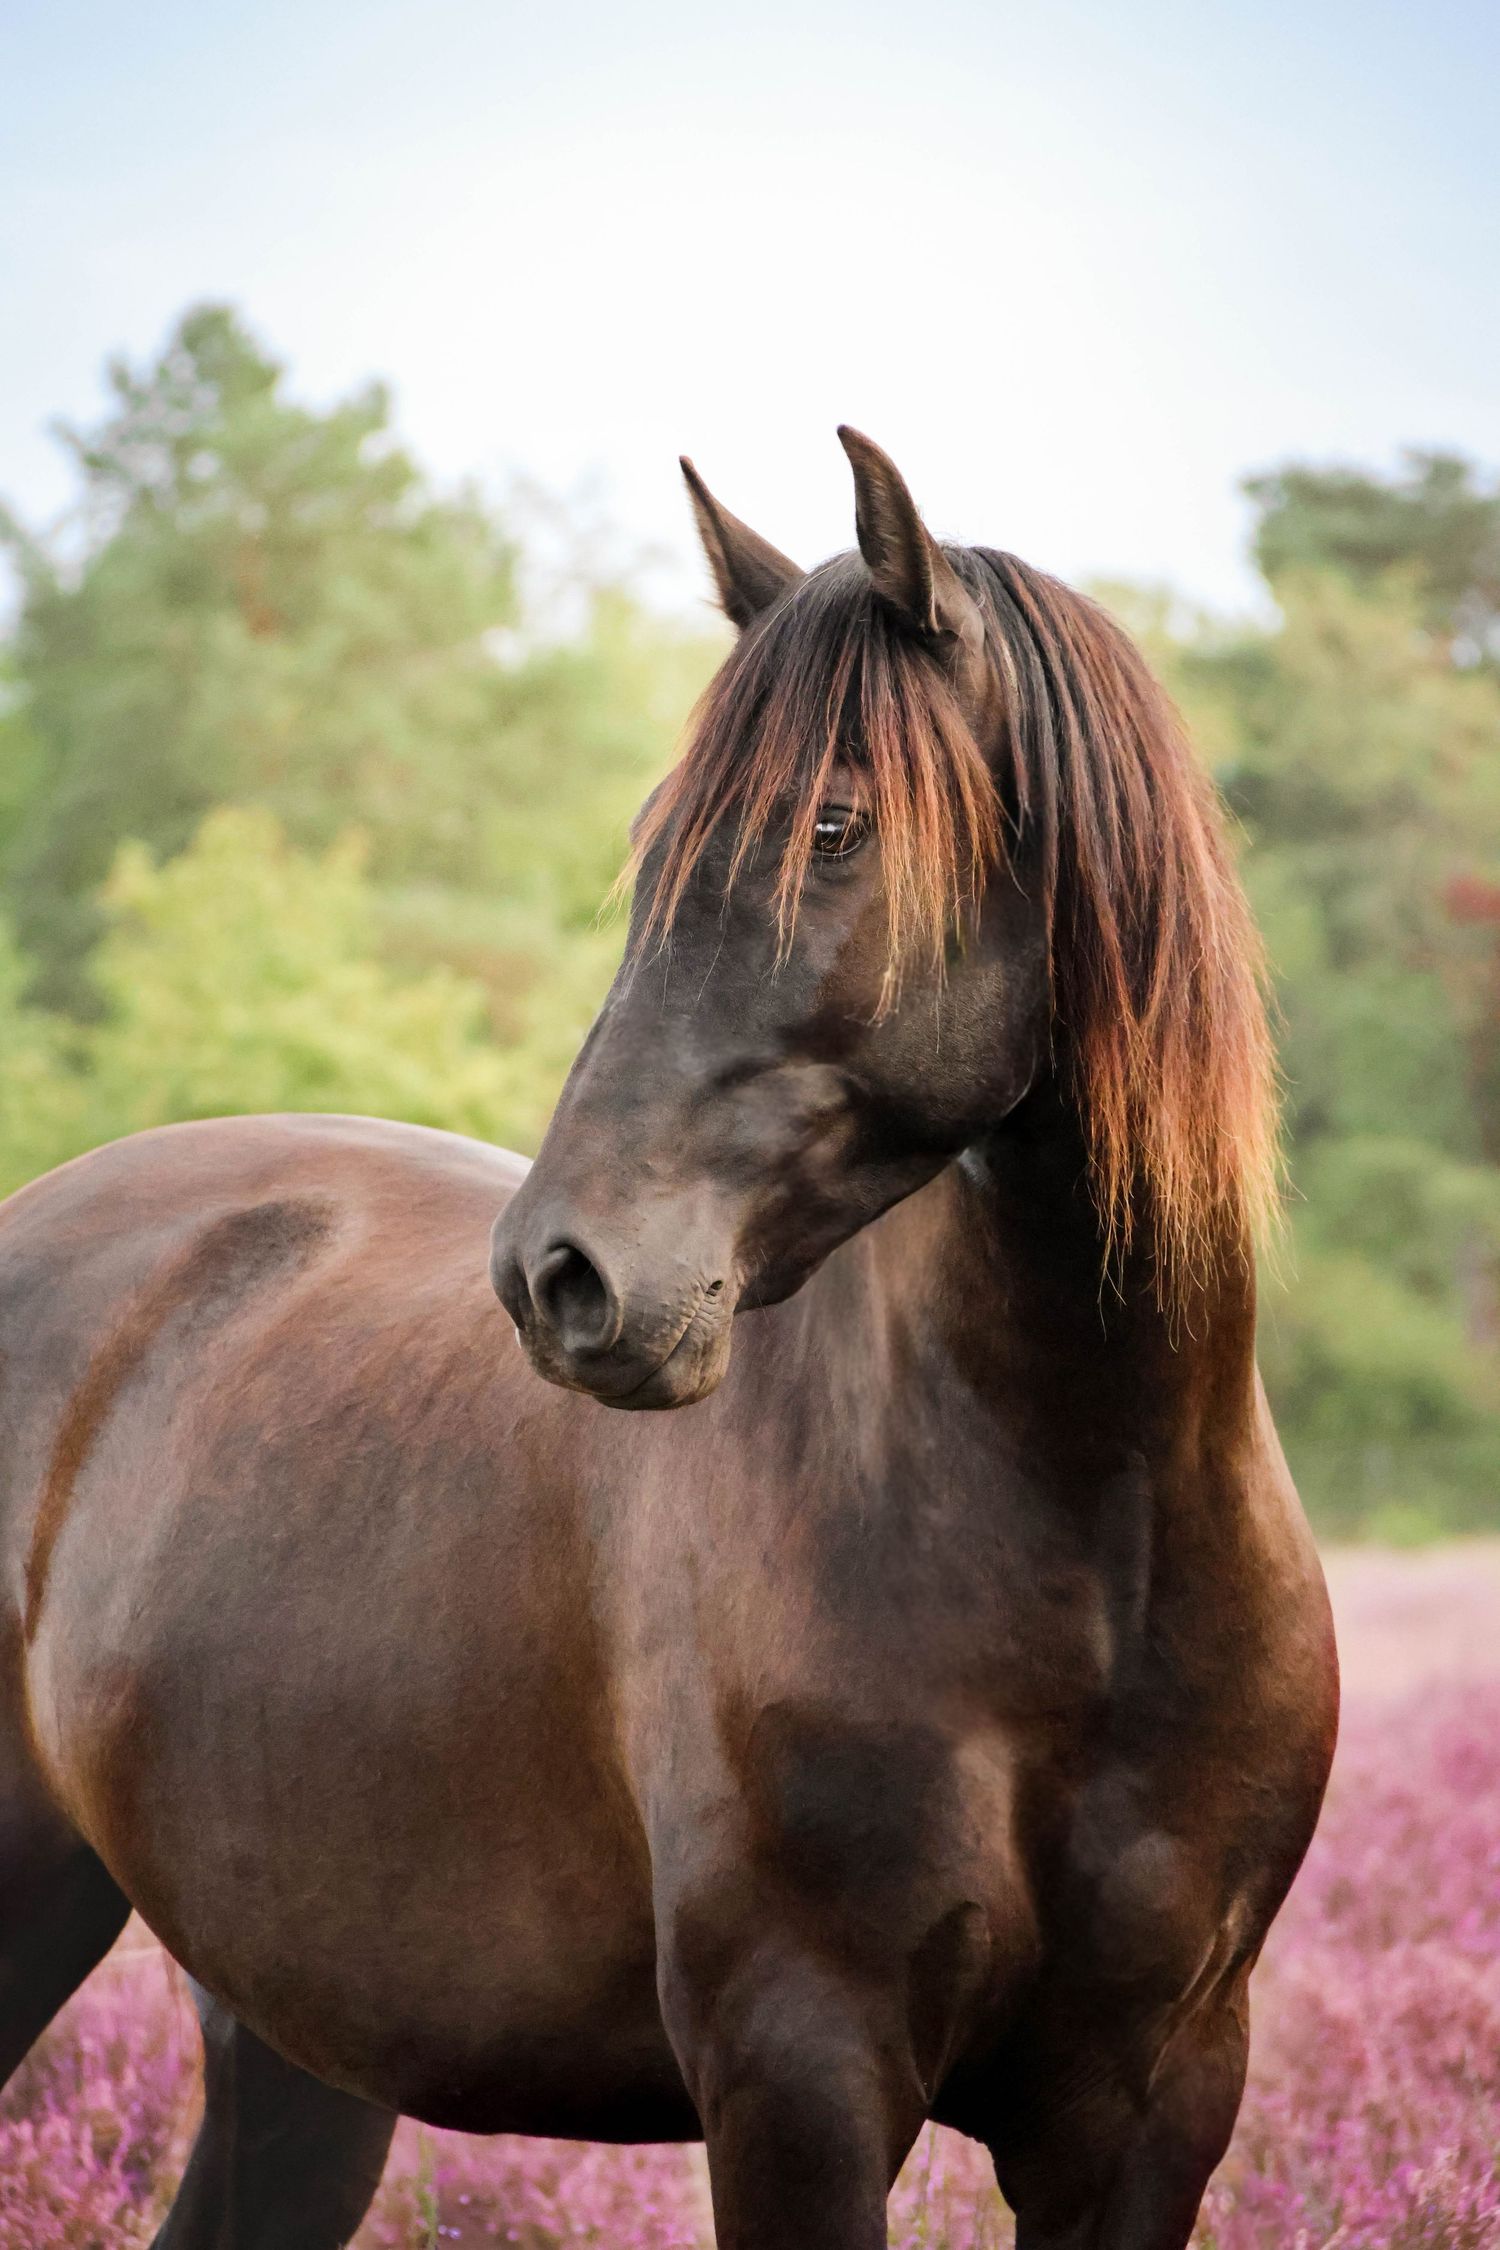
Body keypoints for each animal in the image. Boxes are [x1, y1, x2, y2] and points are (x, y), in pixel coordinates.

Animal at [0, 428, 1337, 2250]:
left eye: (835, 826)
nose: (560, 1277)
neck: (1093, 1530)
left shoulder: (1154, 2106)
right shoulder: (800, 2076)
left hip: (294, 2043)